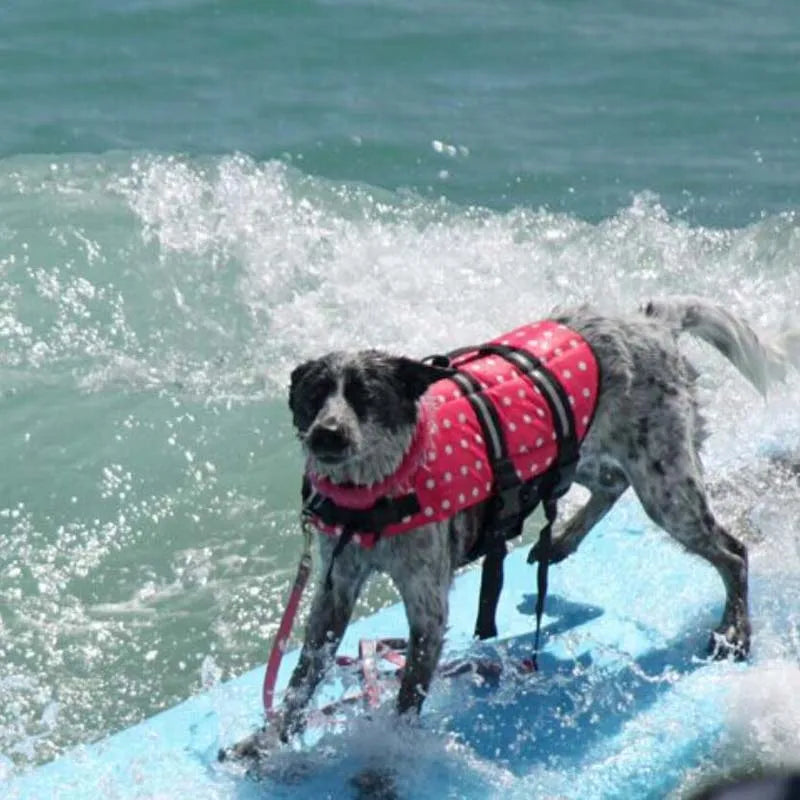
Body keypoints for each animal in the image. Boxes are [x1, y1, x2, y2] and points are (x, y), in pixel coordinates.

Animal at [230, 296, 788, 760]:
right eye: (313, 395)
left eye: (366, 396)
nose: (327, 434)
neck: (375, 494)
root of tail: (650, 320)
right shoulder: (335, 590)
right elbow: (301, 678)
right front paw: (265, 742)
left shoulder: (428, 608)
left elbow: (406, 701)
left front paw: (386, 761)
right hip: (574, 452)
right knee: (611, 484)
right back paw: (560, 542)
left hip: (666, 487)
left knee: (732, 552)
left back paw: (735, 630)